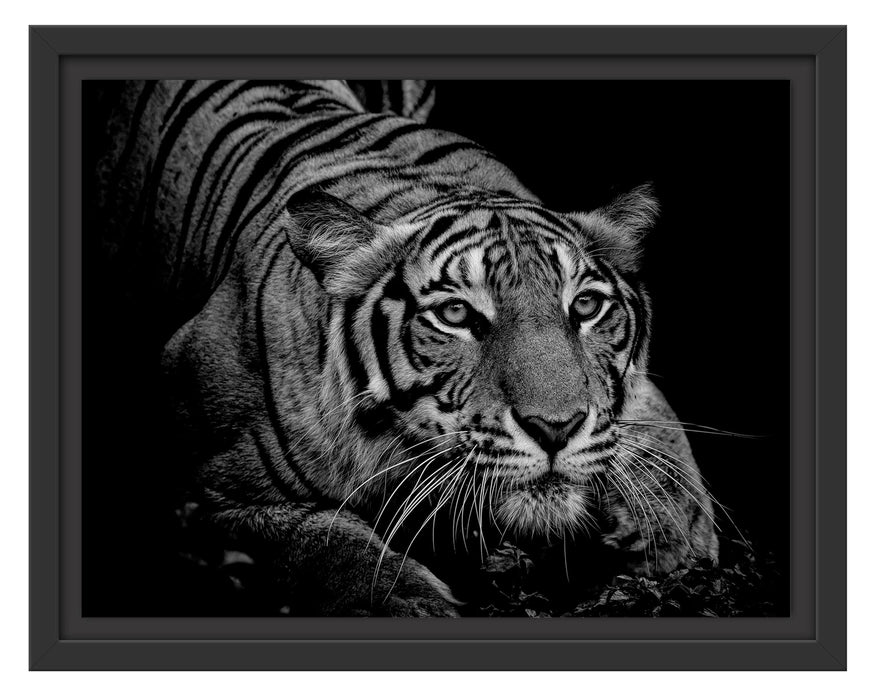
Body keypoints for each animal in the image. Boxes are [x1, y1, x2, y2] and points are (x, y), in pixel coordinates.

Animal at [94, 79, 719, 617]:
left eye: (586, 306)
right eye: (455, 314)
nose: (556, 428)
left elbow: (659, 442)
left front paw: (677, 540)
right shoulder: (208, 494)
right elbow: (326, 547)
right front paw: (411, 604)